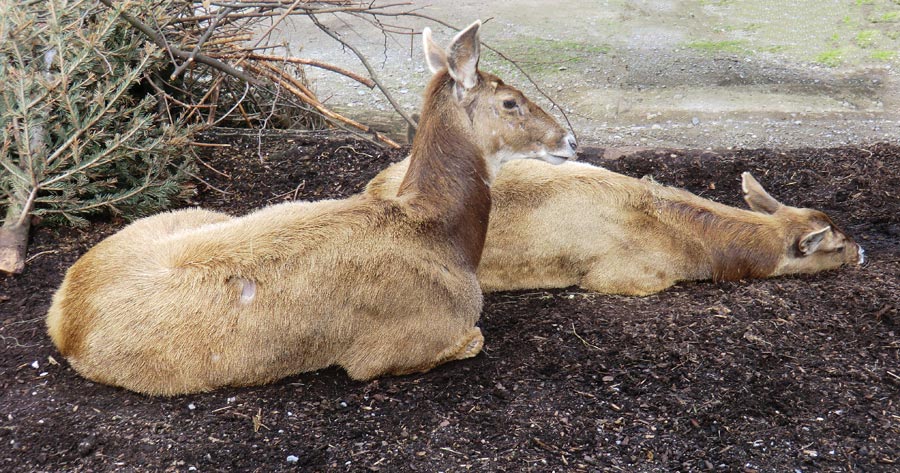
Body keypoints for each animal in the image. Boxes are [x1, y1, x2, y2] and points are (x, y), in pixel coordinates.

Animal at [45, 22, 576, 394]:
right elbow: (476, 339)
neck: (442, 234)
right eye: (511, 102)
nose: (569, 139)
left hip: (202, 216)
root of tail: (62, 316)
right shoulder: (399, 345)